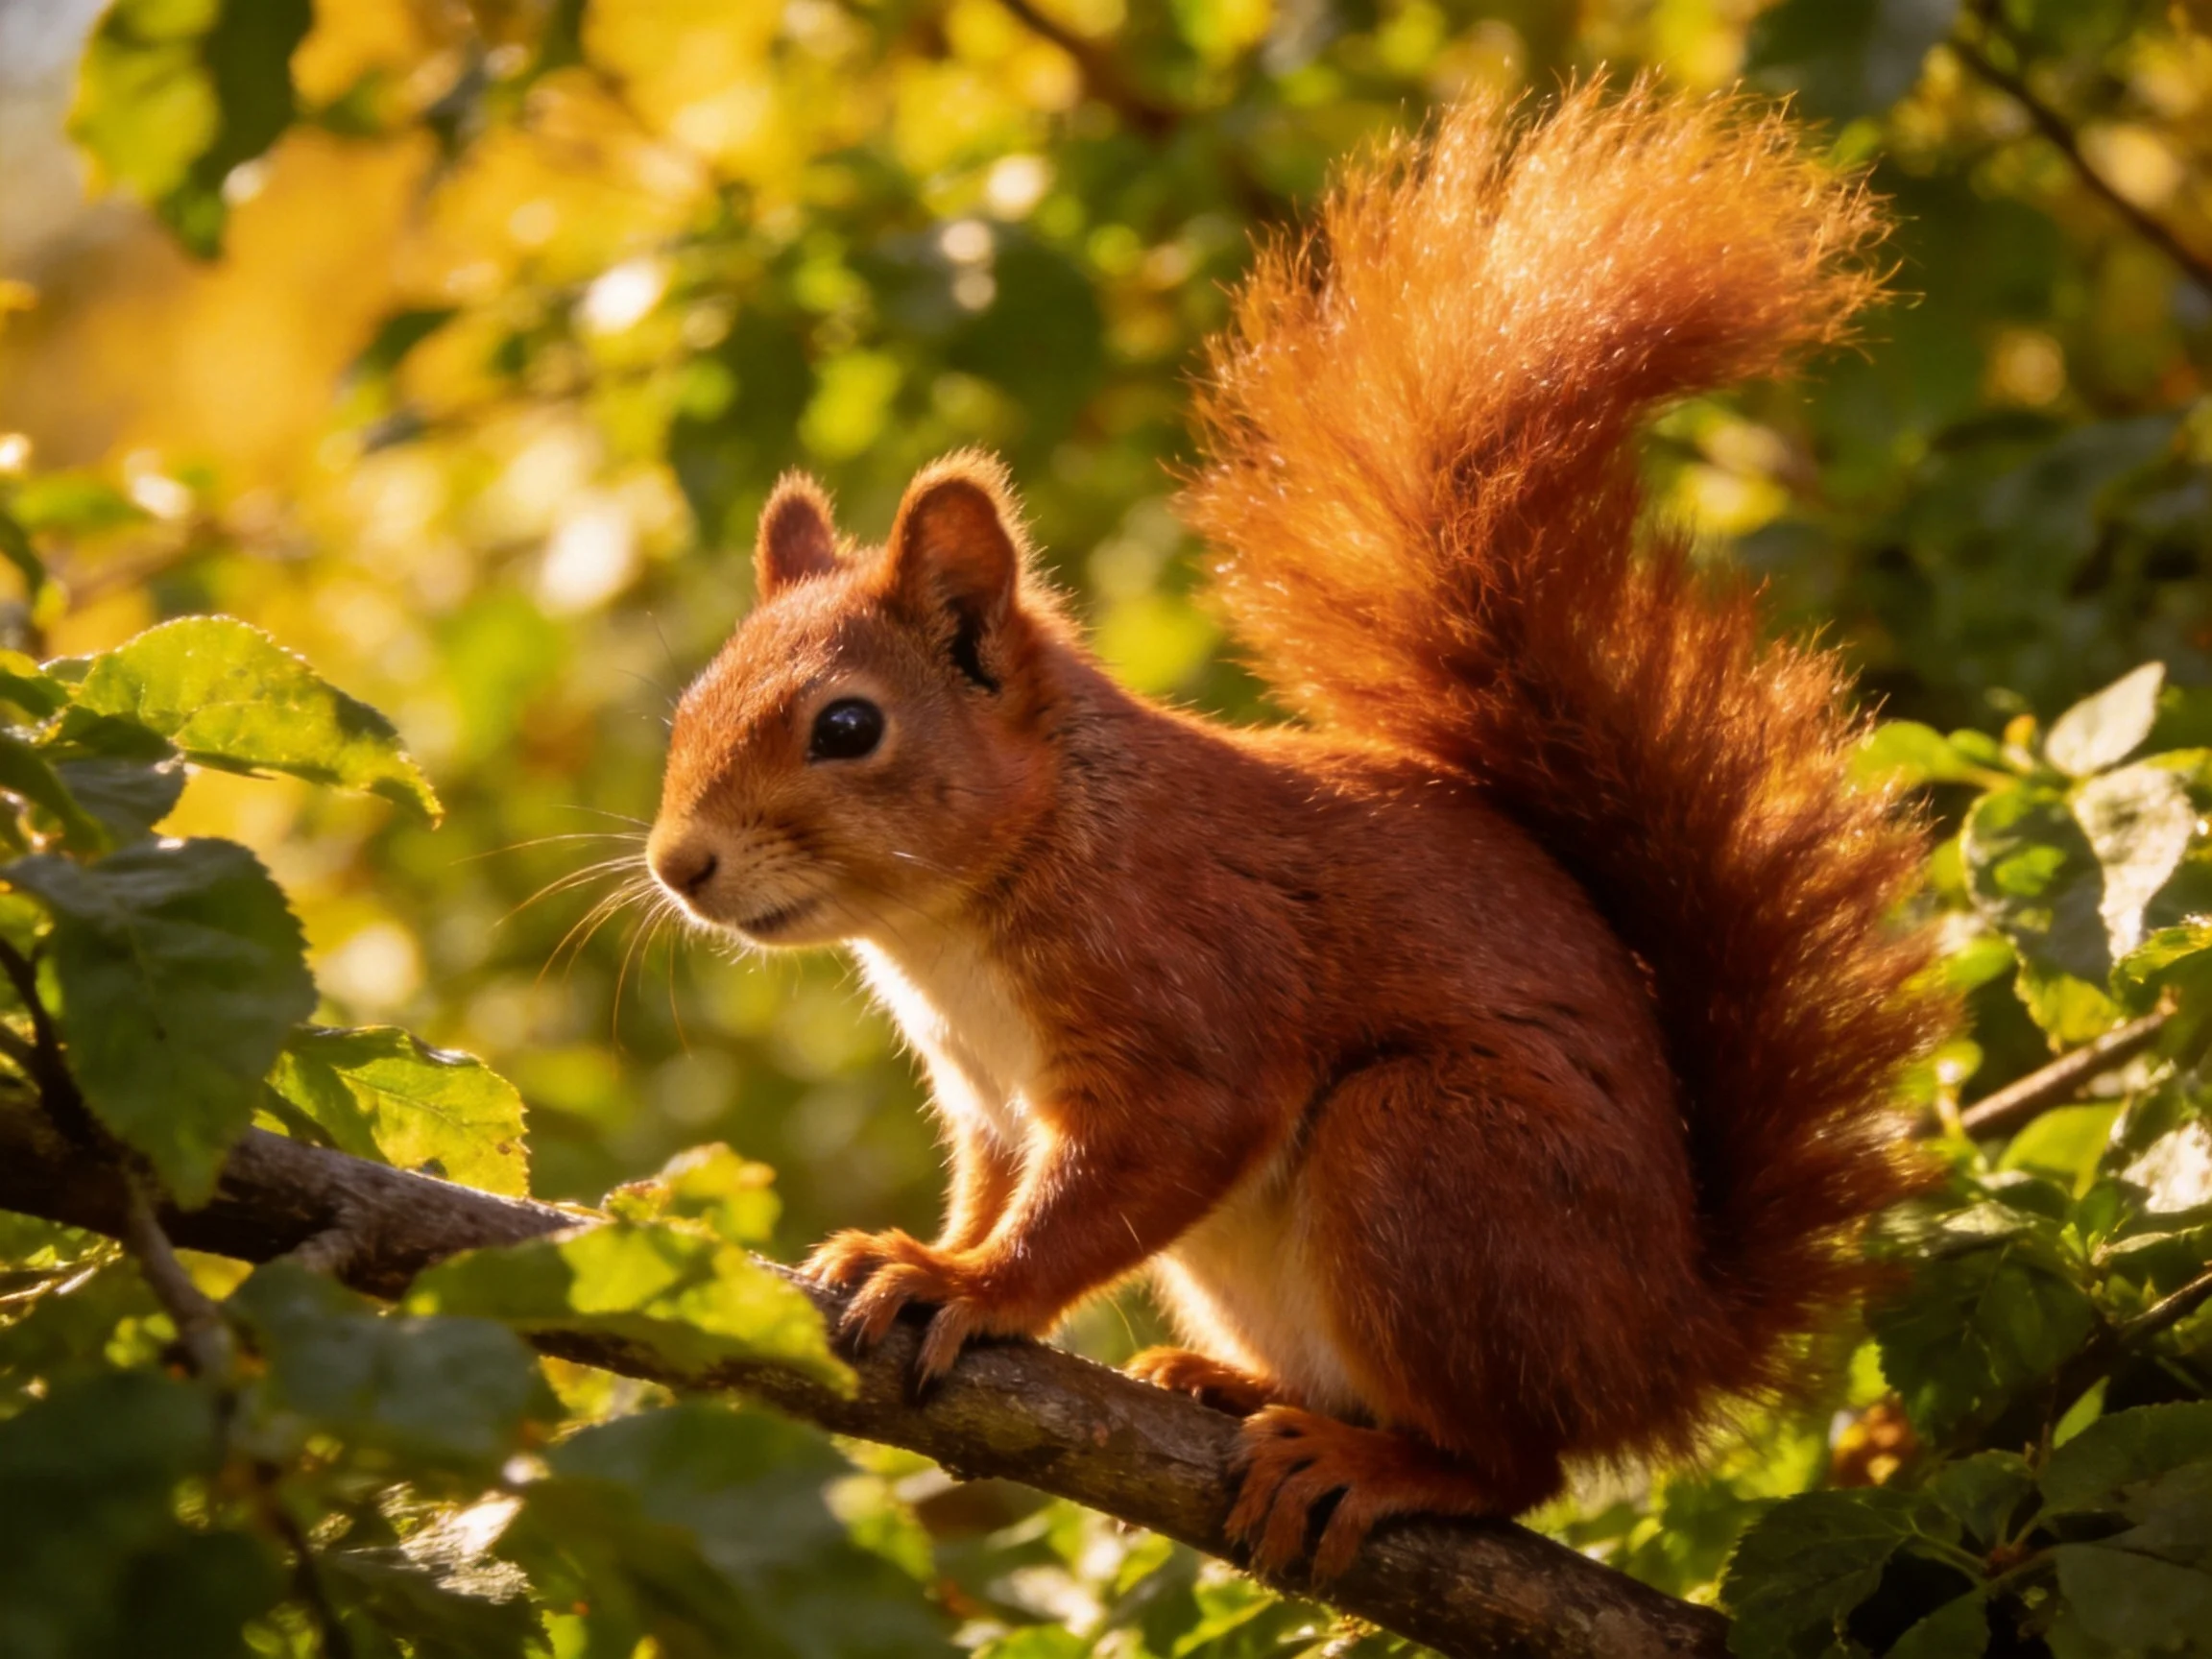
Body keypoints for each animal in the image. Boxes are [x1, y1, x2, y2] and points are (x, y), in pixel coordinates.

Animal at [646, 78, 1949, 1578]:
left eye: (849, 727)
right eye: (685, 704)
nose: (677, 865)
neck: (965, 917)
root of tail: (1669, 1343)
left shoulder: (1184, 991)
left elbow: (1116, 1177)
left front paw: (963, 1279)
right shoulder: (985, 1098)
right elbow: (997, 1180)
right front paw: (905, 1250)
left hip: (1430, 1157)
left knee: (1520, 1466)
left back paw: (1375, 1462)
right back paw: (1234, 1386)